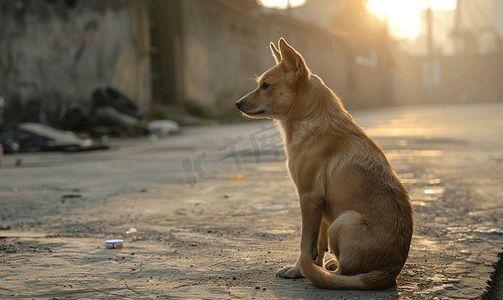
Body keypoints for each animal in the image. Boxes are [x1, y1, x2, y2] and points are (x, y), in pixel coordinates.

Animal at [236, 38, 414, 290]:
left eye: (266, 85)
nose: (237, 104)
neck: (311, 118)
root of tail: (390, 271)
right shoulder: (317, 203)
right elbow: (316, 245)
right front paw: (311, 268)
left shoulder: (308, 197)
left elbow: (305, 243)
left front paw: (298, 271)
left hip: (343, 221)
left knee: (345, 272)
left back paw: (331, 273)